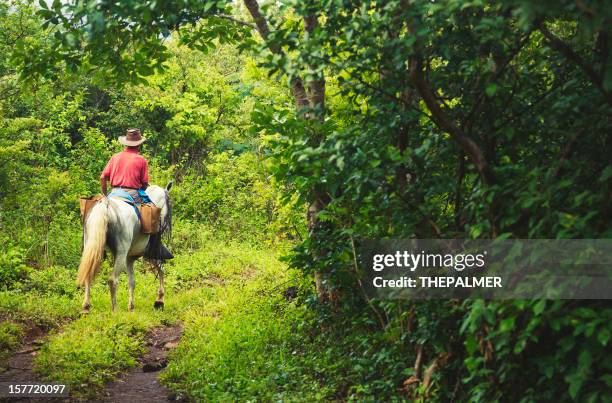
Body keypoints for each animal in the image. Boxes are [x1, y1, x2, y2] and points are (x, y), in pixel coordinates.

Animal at [77, 183, 172, 312]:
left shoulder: (129, 258)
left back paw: (86, 307)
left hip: (93, 249)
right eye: (169, 203)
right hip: (121, 254)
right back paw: (115, 310)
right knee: (113, 280)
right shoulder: (150, 254)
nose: (166, 226)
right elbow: (161, 270)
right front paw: (159, 300)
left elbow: (131, 281)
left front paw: (131, 307)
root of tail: (105, 207)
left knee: (88, 273)